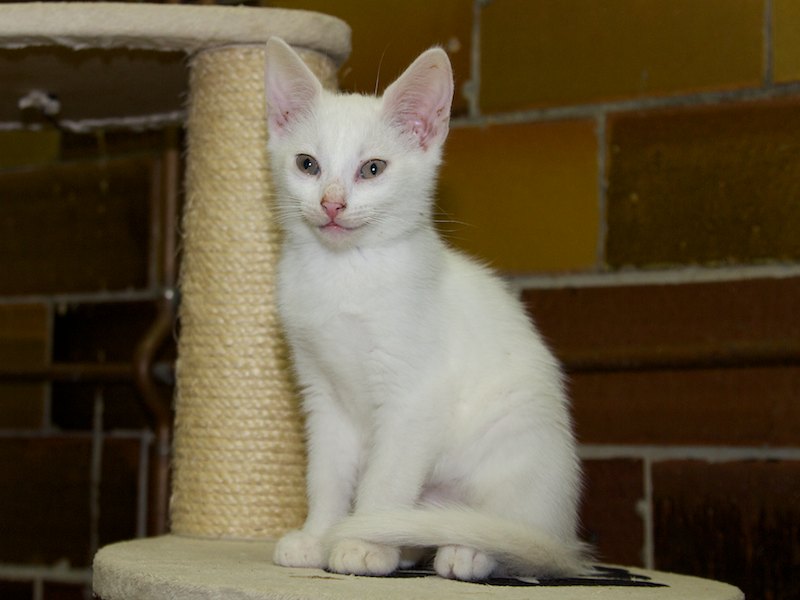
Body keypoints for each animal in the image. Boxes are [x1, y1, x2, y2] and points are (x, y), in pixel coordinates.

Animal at [264, 37, 588, 581]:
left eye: (373, 169)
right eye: (307, 164)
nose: (331, 203)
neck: (343, 274)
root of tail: (563, 534)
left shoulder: (416, 396)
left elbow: (386, 479)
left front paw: (362, 542)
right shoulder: (322, 393)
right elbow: (326, 473)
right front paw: (318, 534)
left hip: (515, 445)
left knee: (519, 541)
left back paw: (469, 551)